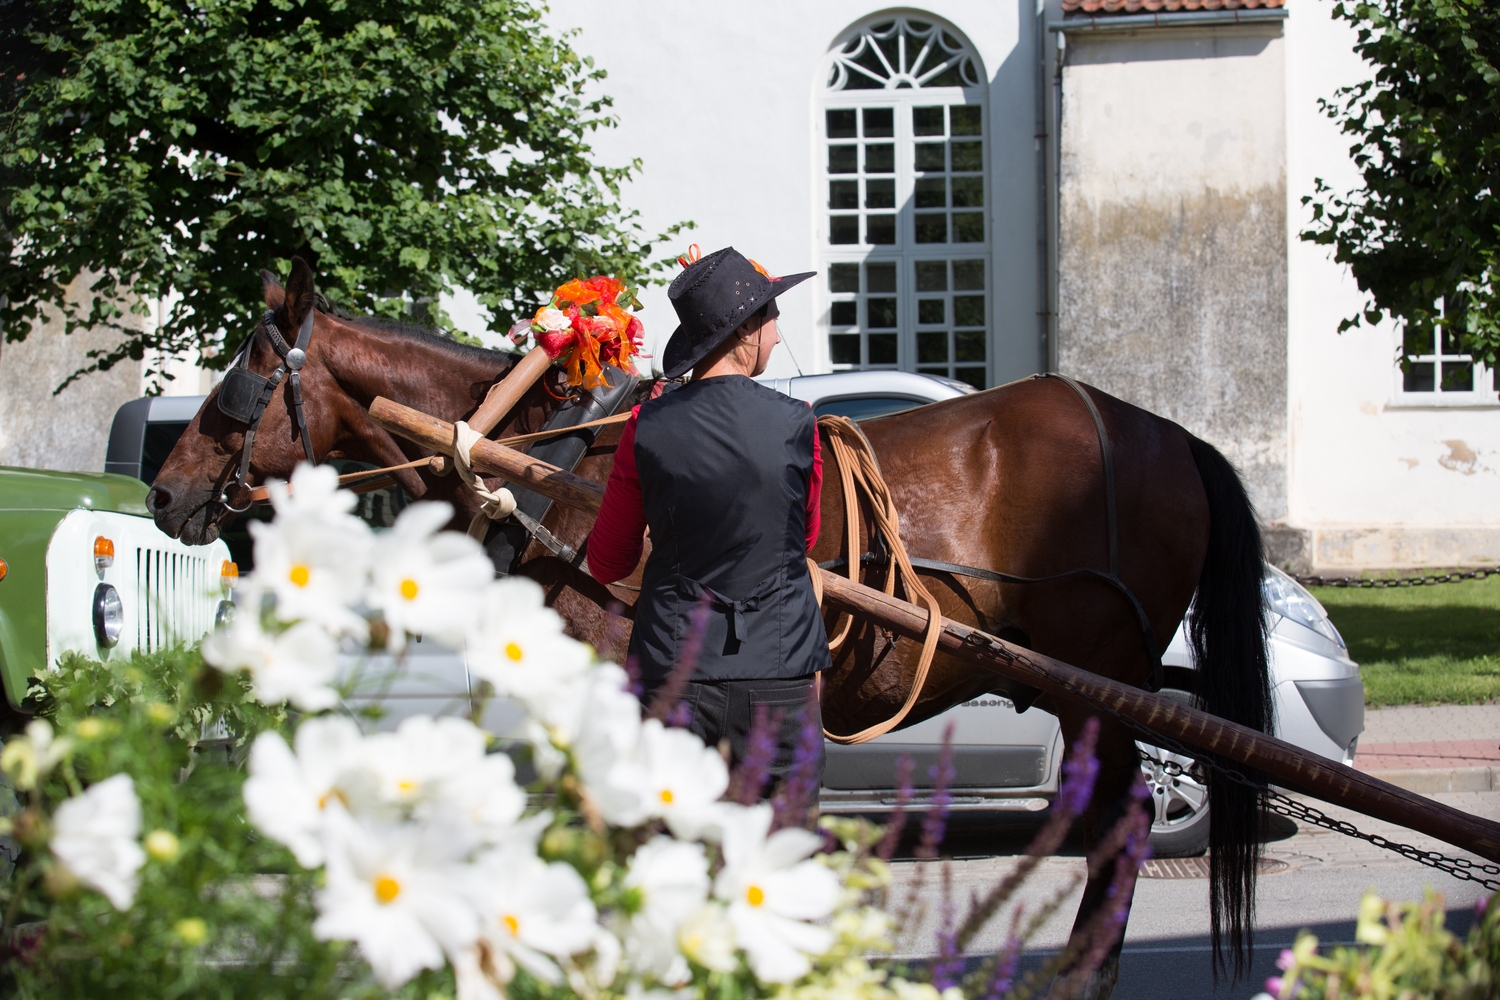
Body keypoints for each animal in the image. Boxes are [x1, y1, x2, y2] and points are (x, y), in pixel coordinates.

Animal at [152, 256, 1272, 995]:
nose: (163, 491)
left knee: (1124, 821)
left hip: (1096, 684)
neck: (554, 457)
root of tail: (1163, 432)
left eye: (243, 370)